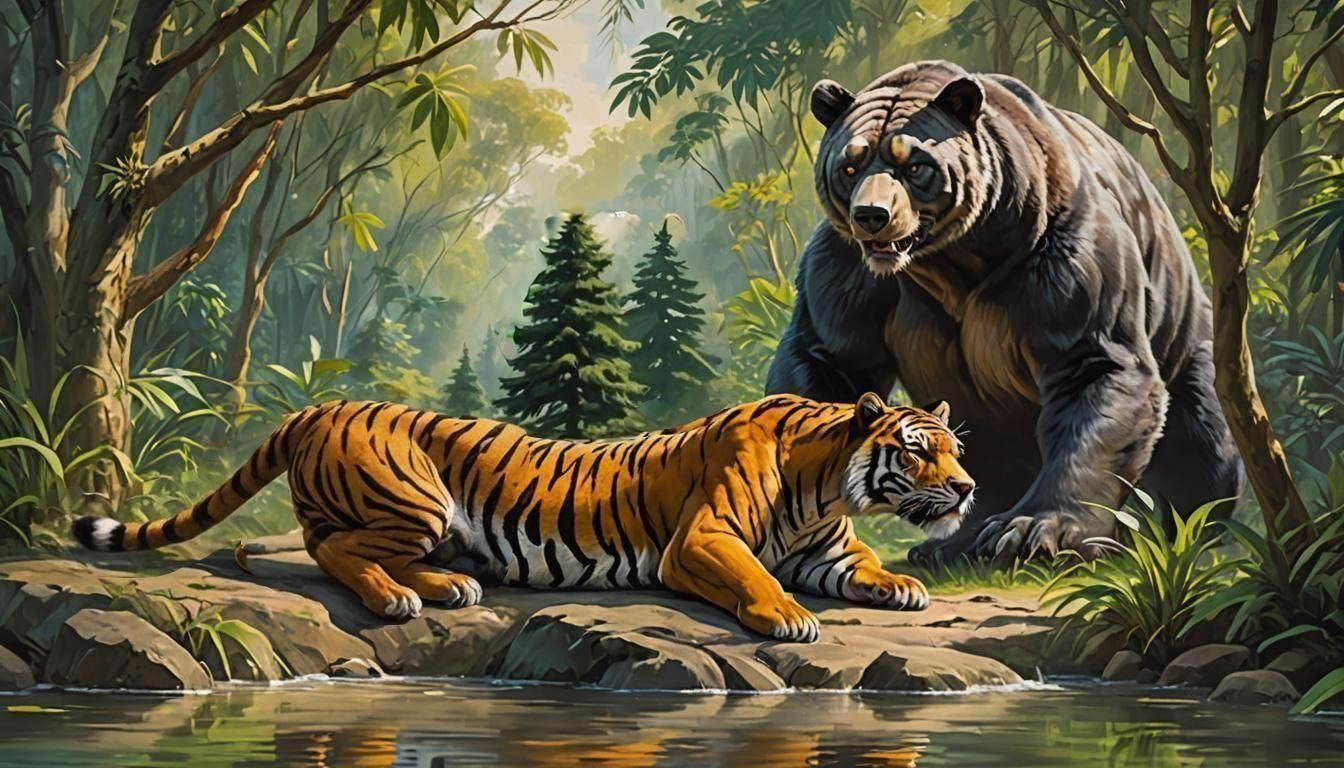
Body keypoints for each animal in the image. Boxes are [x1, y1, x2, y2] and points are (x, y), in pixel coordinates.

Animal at [765, 60, 1243, 565]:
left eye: (915, 164)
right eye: (849, 165)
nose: (872, 215)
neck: (949, 261)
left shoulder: (1060, 257)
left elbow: (1095, 369)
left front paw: (1035, 529)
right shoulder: (849, 273)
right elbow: (826, 360)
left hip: (1188, 342)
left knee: (1201, 441)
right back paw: (950, 542)